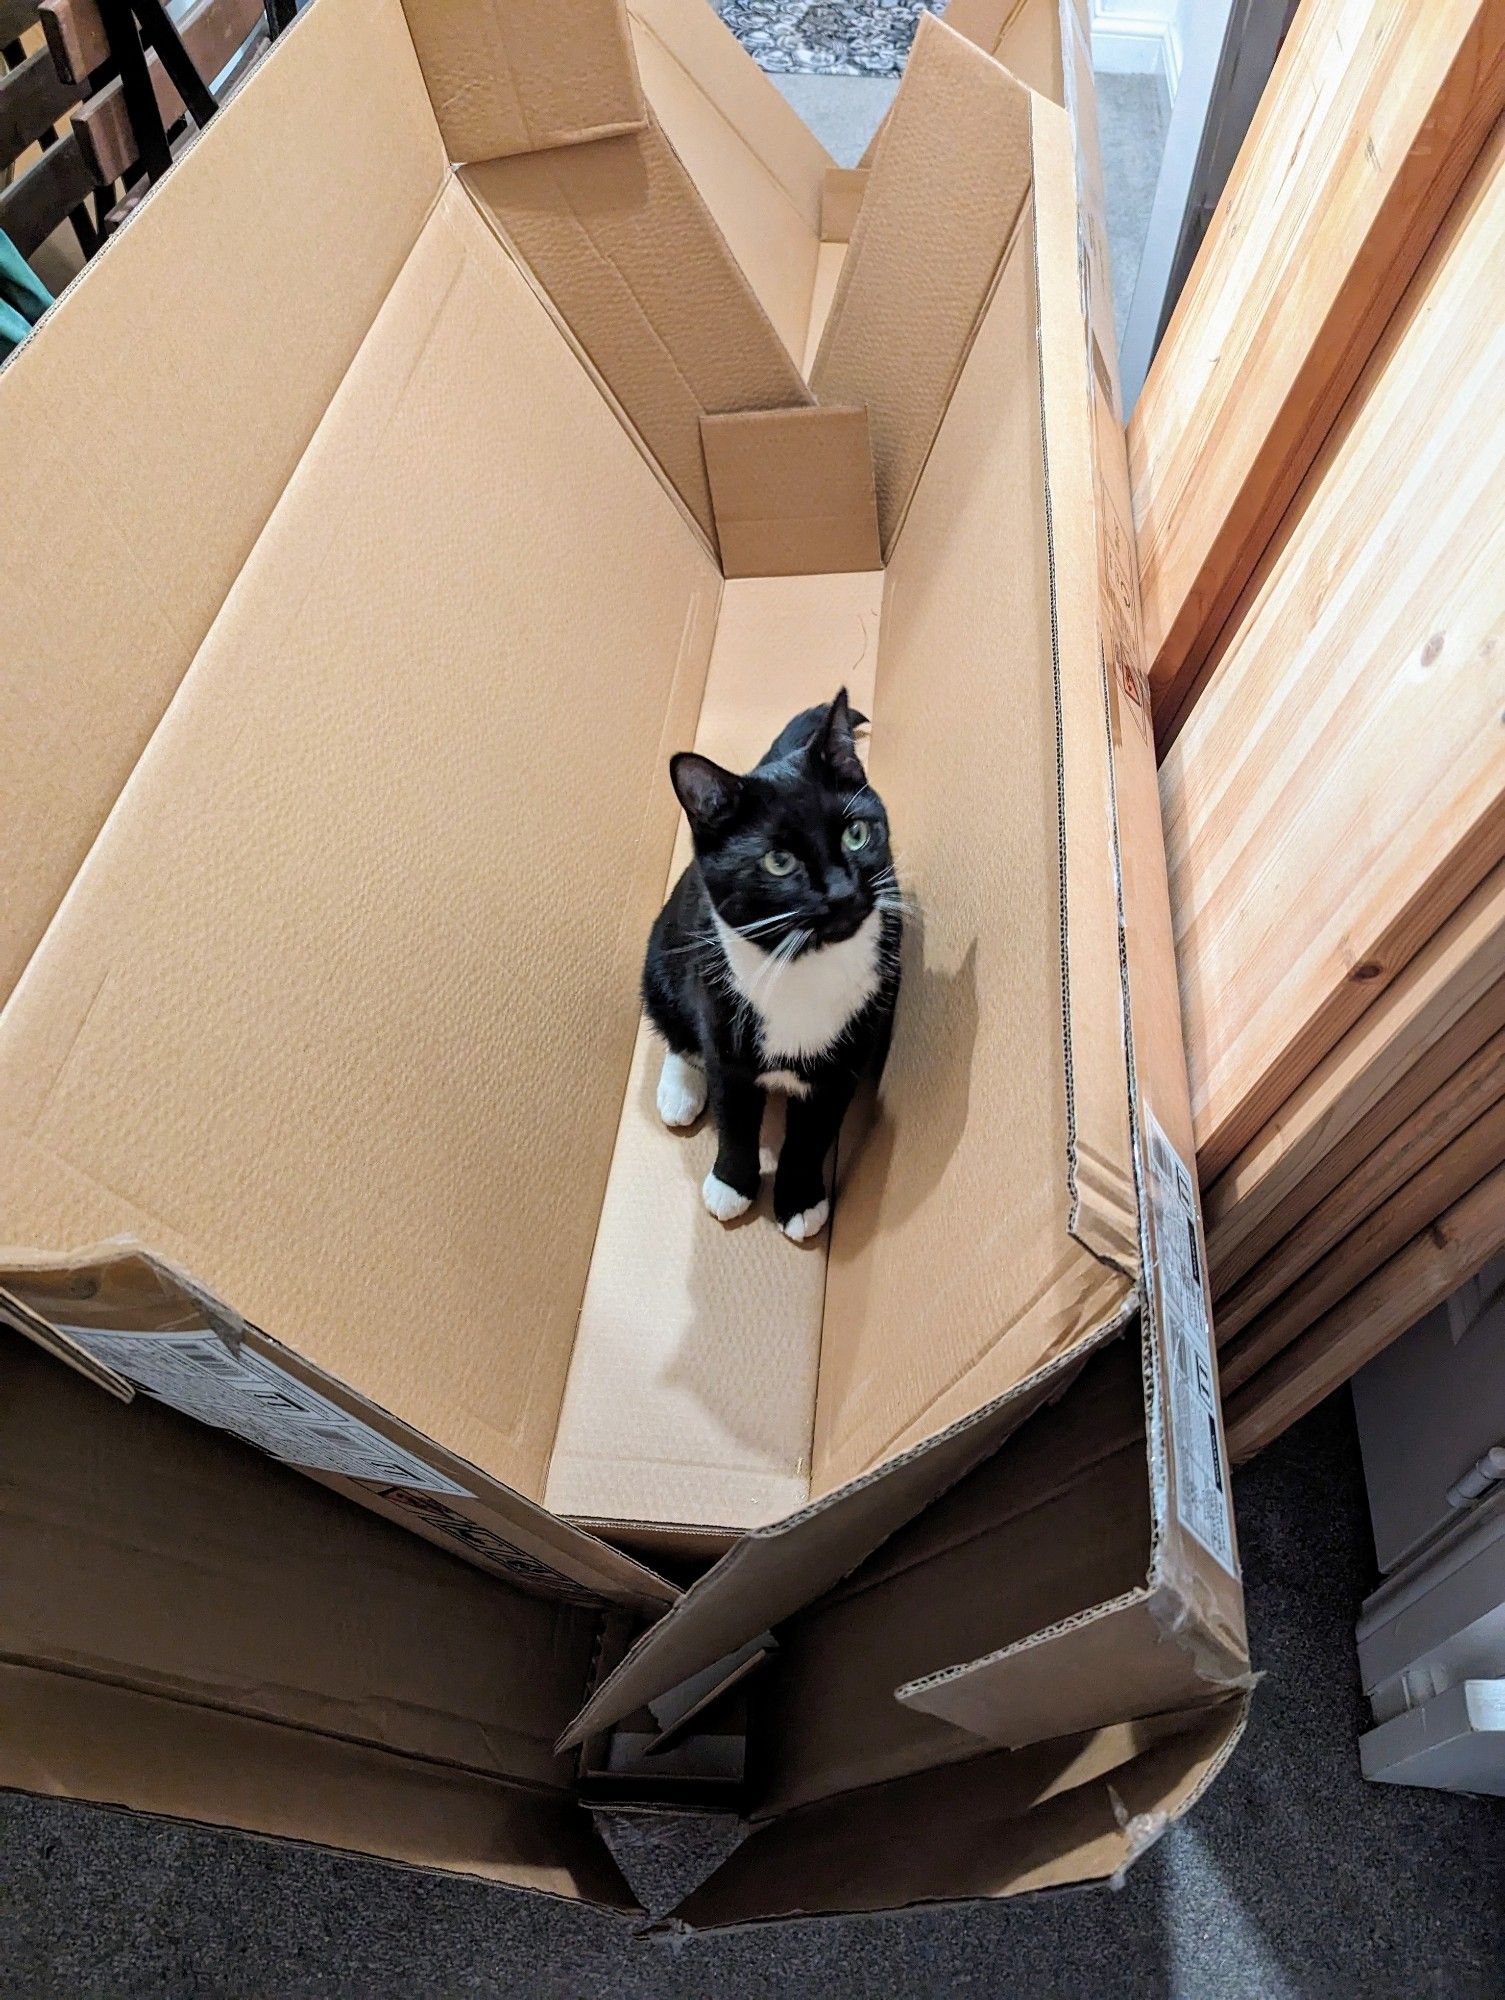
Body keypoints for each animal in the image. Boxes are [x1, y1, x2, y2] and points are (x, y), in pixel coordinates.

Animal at [640, 696, 900, 1240]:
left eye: (857, 833)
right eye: (778, 862)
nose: (843, 893)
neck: (804, 966)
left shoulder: (847, 1057)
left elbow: (813, 1133)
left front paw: (801, 1200)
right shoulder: (723, 1028)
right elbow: (735, 1117)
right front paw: (731, 1184)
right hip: (662, 959)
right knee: (675, 1026)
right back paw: (679, 1091)